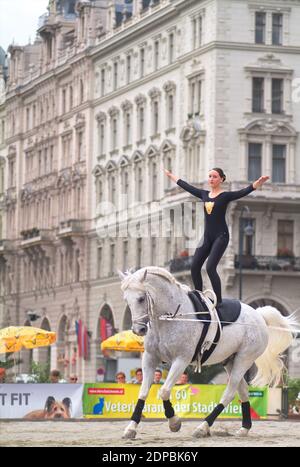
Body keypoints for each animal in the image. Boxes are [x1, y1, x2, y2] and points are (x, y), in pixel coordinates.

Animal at [118, 266, 296, 438]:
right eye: (126, 300)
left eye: (141, 298)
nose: (138, 330)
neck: (171, 316)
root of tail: (259, 315)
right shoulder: (150, 358)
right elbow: (143, 392)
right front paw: (131, 428)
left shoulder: (181, 360)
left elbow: (164, 391)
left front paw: (174, 422)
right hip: (230, 361)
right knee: (243, 392)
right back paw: (244, 428)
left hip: (244, 359)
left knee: (229, 393)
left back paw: (203, 427)